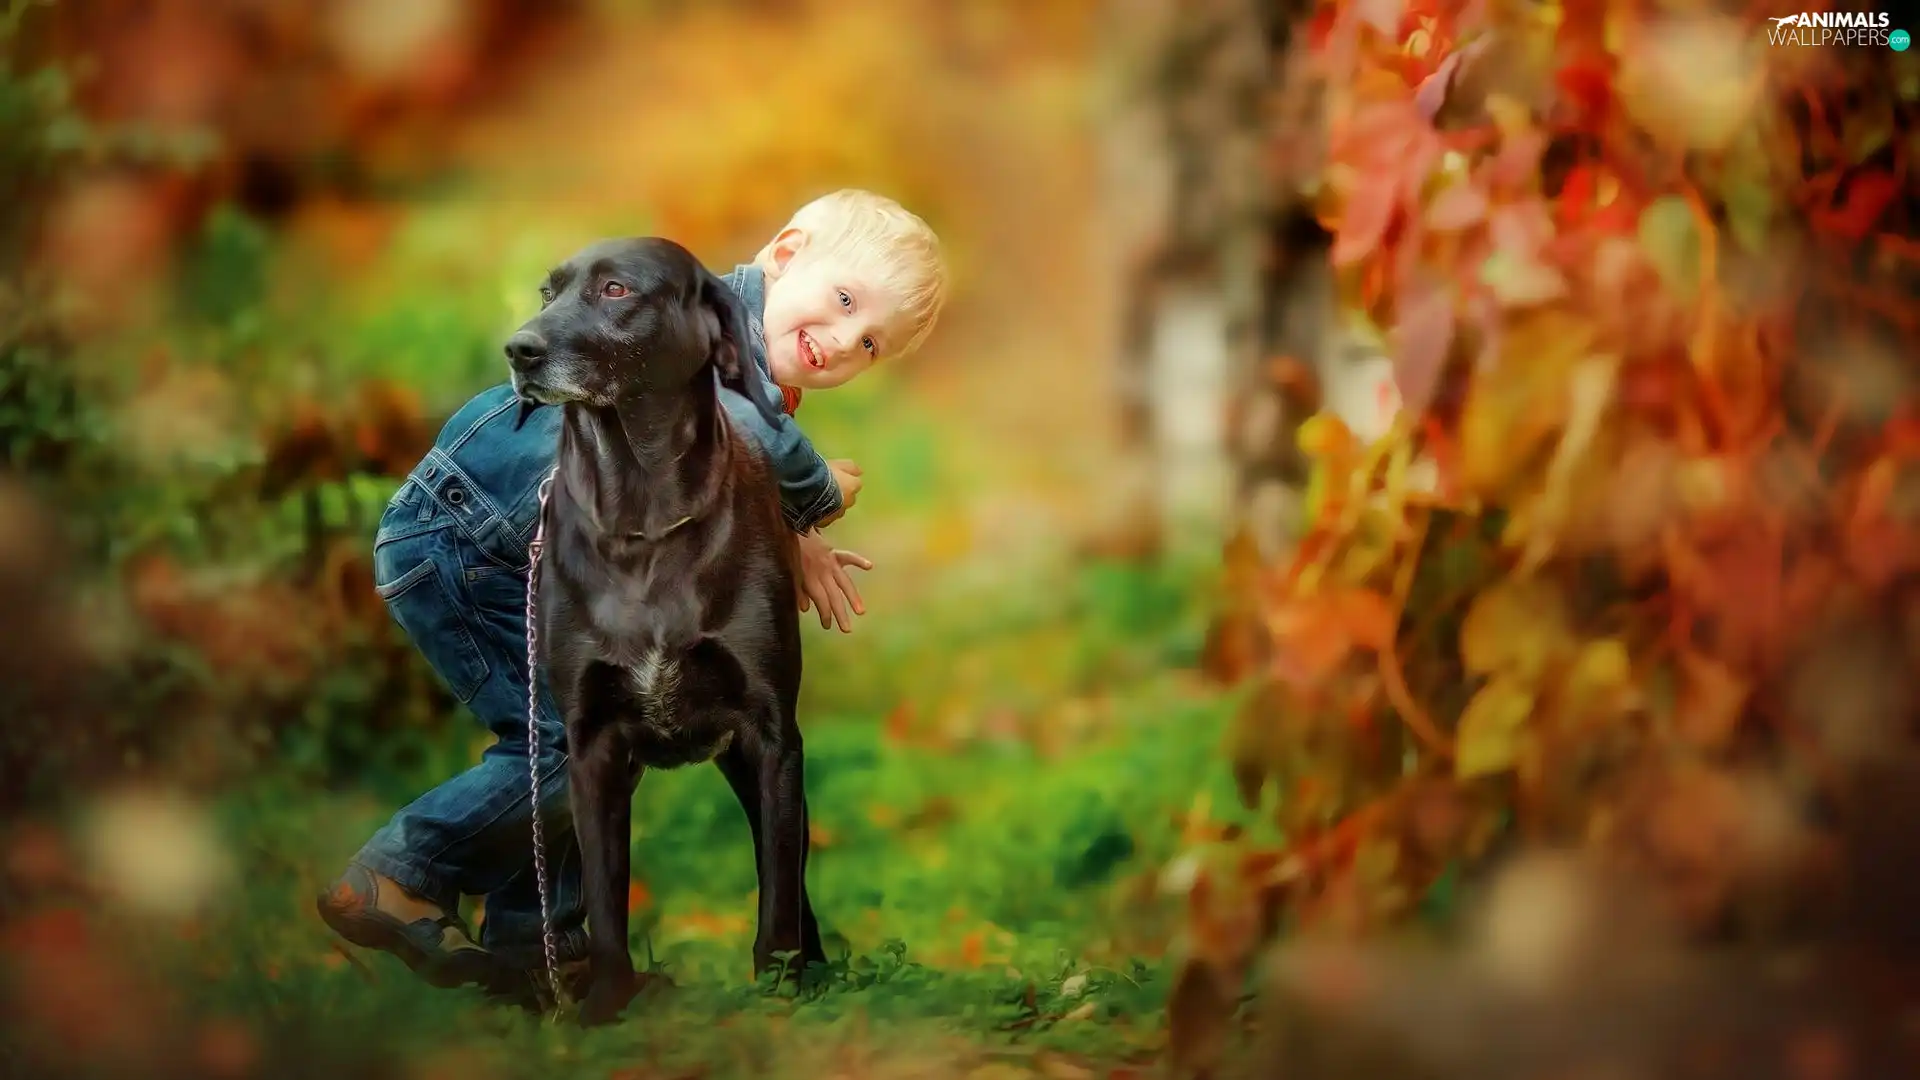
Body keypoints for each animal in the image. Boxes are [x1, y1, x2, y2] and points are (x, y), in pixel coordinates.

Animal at [503, 237, 825, 1022]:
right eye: (547, 291)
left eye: (617, 289)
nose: (519, 350)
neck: (642, 515)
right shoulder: (591, 746)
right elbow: (603, 894)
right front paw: (606, 1004)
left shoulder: (772, 736)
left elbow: (778, 887)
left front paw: (781, 989)